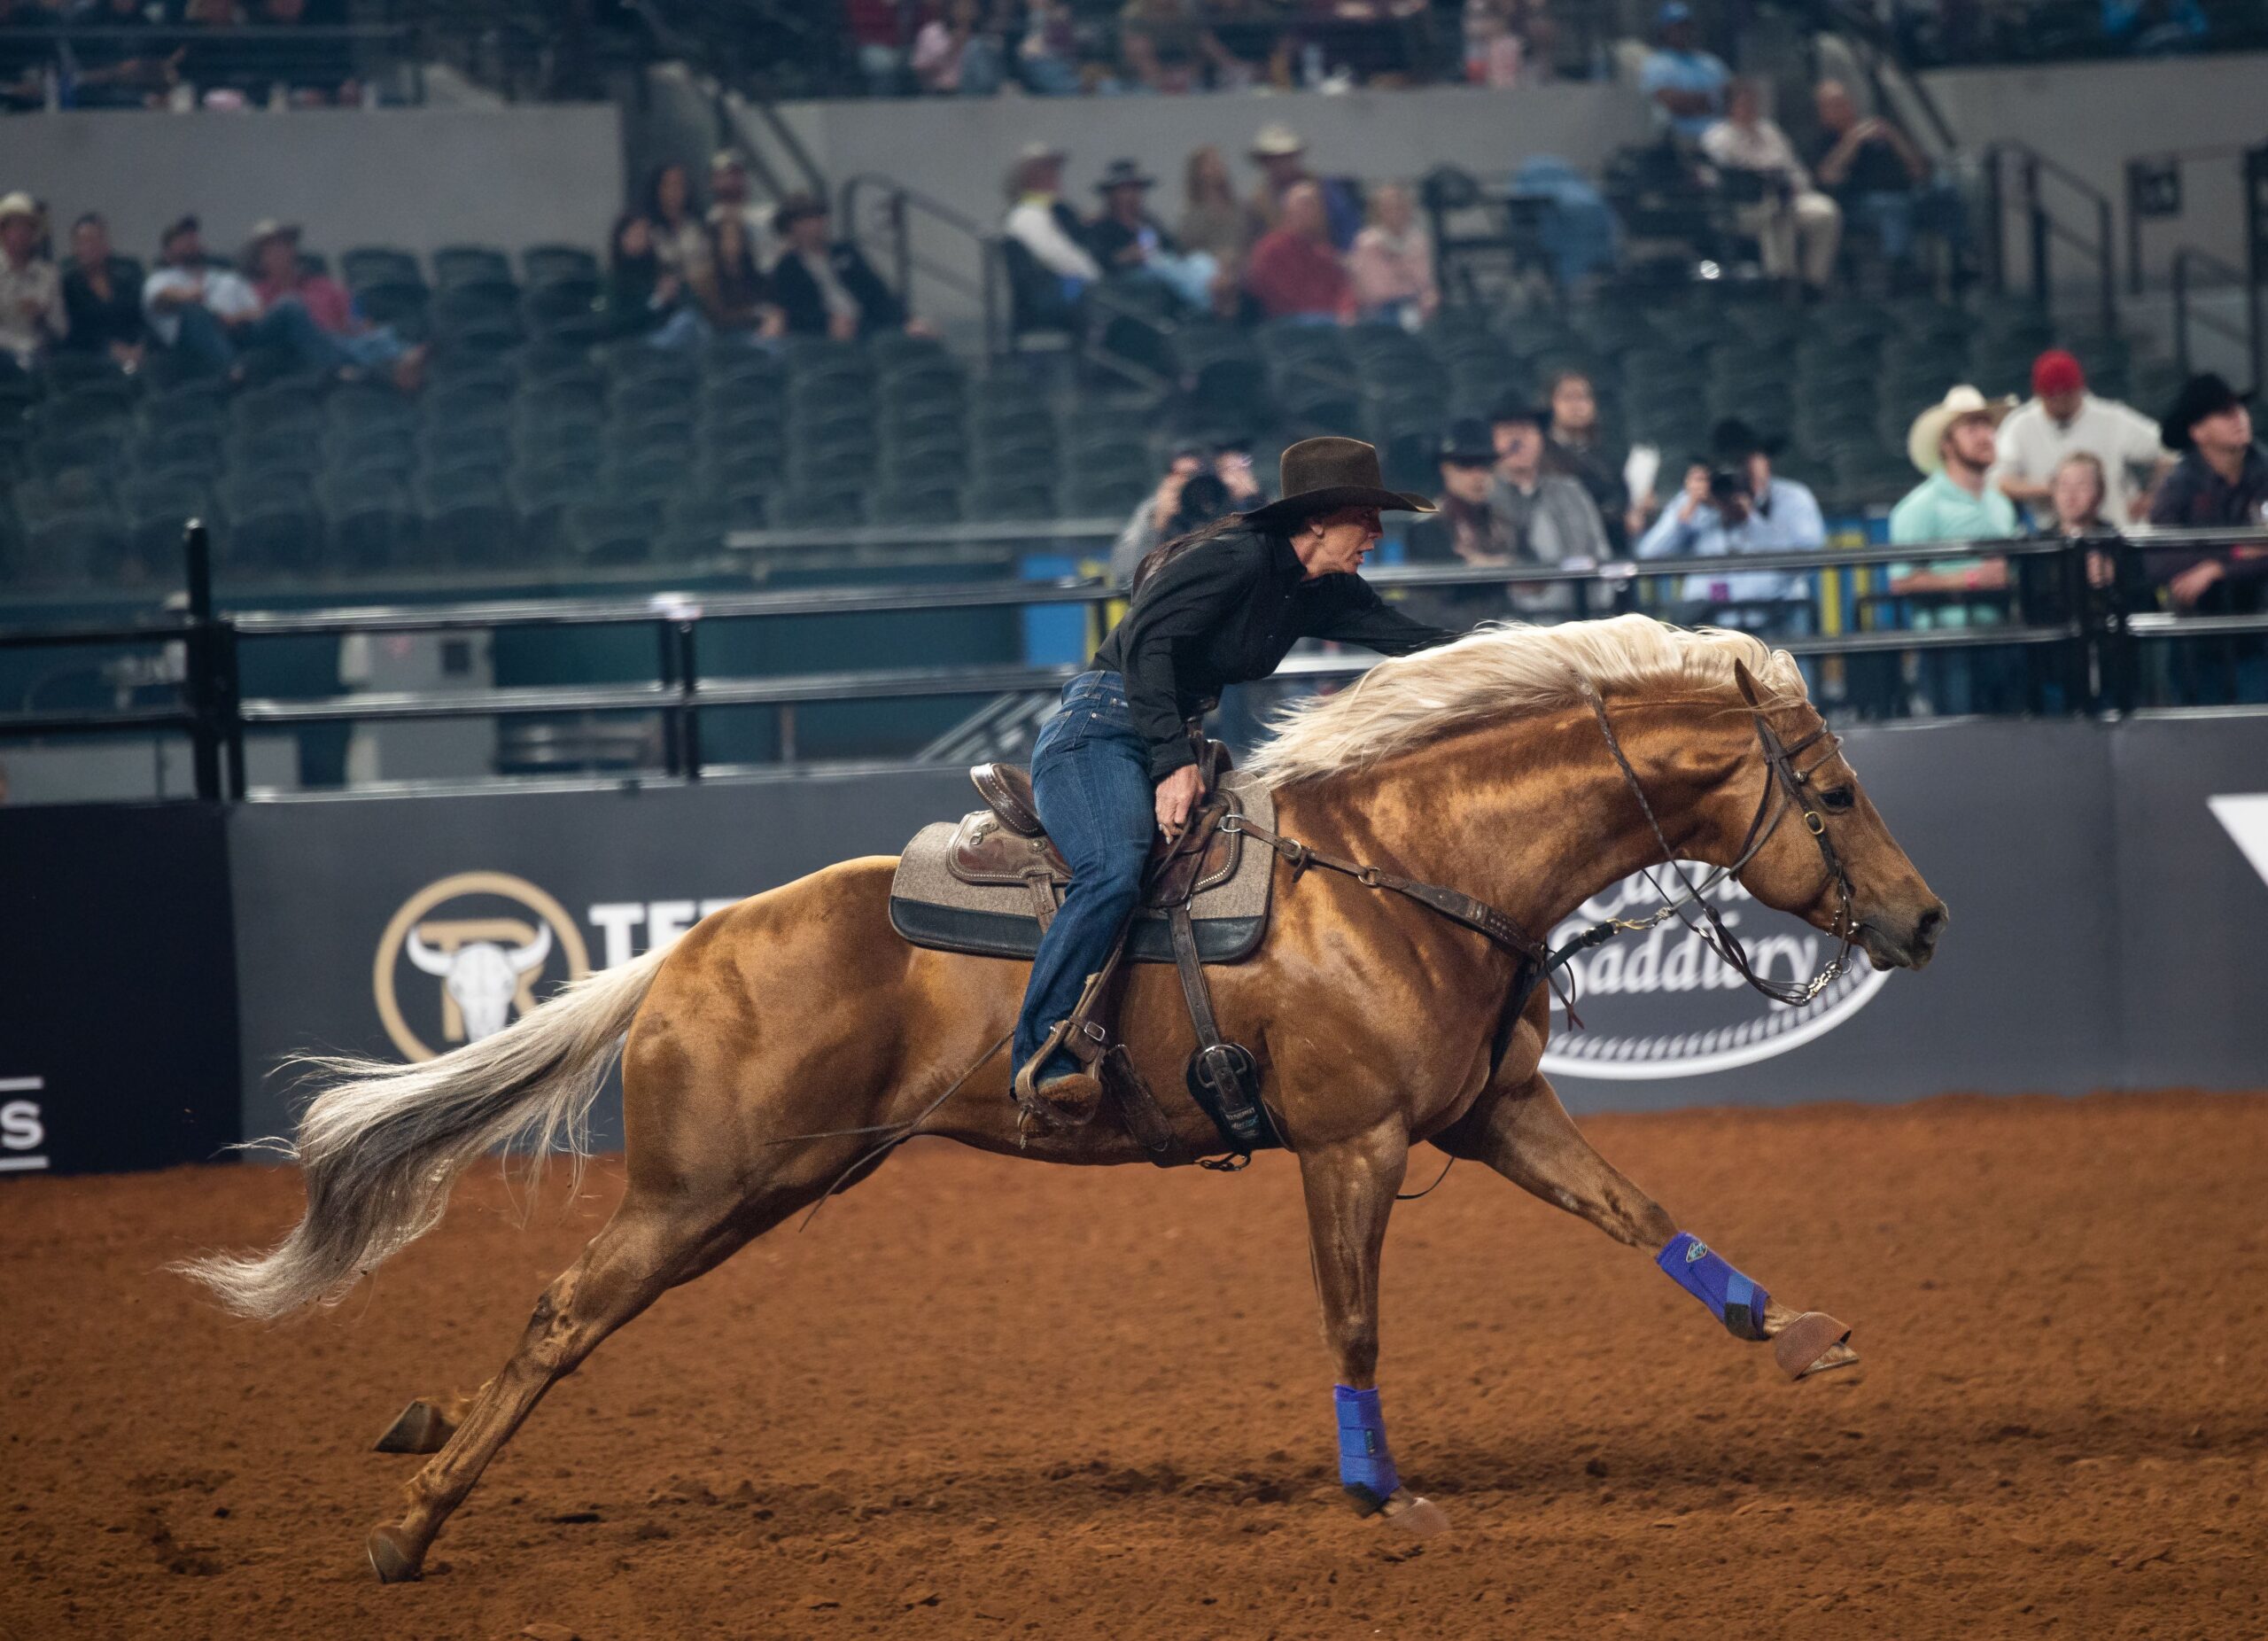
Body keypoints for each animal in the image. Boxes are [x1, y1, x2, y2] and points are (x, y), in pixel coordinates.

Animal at [181, 617, 1950, 1579]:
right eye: (1835, 785)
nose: (1927, 919)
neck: (1407, 870)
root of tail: (685, 951)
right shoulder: (1354, 1147)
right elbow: (1355, 1319)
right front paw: (1380, 1491)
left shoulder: (1489, 1118)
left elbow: (1642, 1215)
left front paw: (1798, 1332)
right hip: (702, 1192)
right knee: (560, 1313)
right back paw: (410, 1525)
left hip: (762, 1189)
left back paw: (416, 1451)